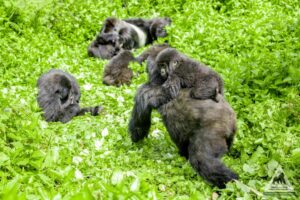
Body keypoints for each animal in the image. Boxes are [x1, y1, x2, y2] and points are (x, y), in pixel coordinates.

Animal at [127, 46, 238, 188]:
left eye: (162, 66)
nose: (162, 70)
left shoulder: (146, 90)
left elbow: (139, 126)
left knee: (202, 159)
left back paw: (229, 179)